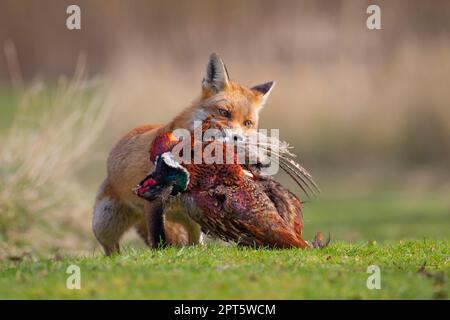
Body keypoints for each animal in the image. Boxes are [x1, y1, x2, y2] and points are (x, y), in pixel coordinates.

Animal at [93, 53, 272, 255]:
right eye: (224, 112)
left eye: (248, 123)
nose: (236, 138)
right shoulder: (153, 199)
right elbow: (158, 238)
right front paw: (160, 254)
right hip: (104, 223)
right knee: (112, 249)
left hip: (186, 216)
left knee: (192, 241)